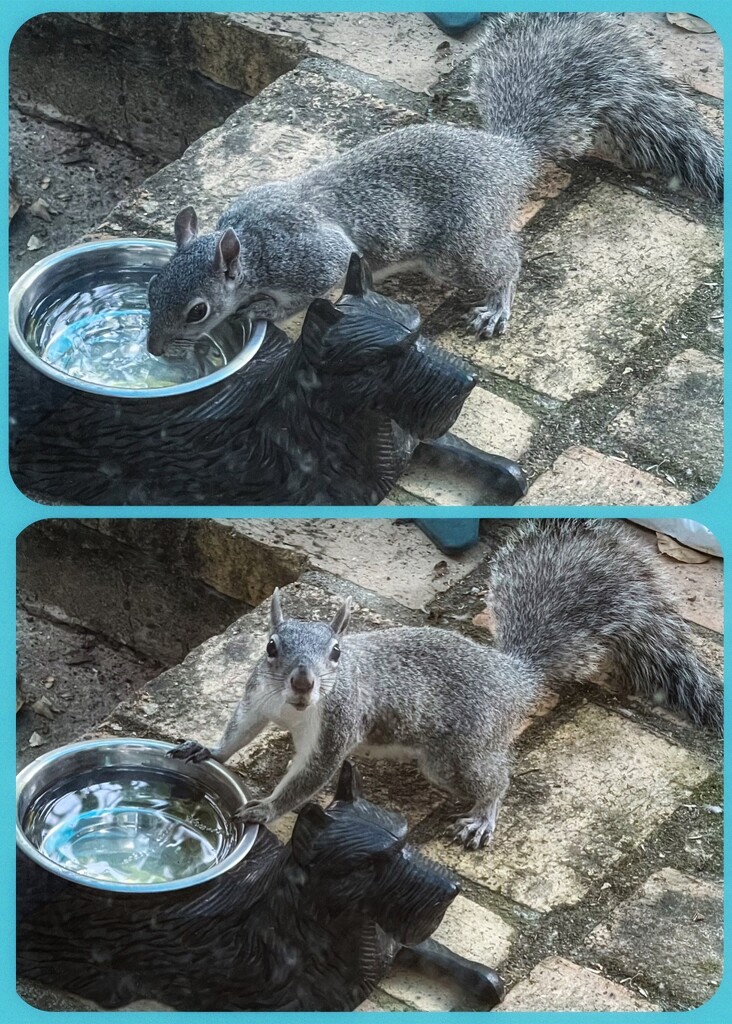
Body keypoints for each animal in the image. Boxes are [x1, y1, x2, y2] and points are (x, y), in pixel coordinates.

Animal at [147, 9, 720, 356]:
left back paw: (497, 306)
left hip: (460, 248)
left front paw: (267, 308)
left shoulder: (308, 257)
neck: (250, 242)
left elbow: (311, 283)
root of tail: (508, 155)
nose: (153, 348)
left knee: (506, 262)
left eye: (197, 311)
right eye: (151, 289)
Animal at [169, 520, 720, 847]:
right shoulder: (258, 697)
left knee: (494, 779)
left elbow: (309, 776)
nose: (304, 683)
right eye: (270, 647)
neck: (294, 709)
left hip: (459, 754)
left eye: (336, 653)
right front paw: (207, 751)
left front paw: (264, 808)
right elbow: (240, 730)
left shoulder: (337, 725)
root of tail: (515, 676)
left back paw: (483, 816)